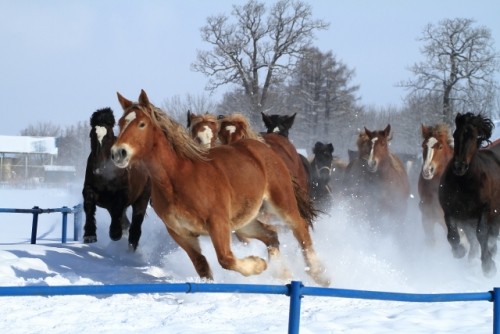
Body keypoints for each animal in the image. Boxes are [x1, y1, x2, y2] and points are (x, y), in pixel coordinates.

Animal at [81, 108, 150, 249]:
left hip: (143, 197)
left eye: (108, 137)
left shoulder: (122, 193)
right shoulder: (90, 188)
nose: (97, 169)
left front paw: (115, 233)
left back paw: (132, 244)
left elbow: (118, 208)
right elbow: (89, 205)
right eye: (91, 136)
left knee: (136, 220)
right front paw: (89, 235)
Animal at [111, 91, 330, 288]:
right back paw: (283, 275)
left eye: (141, 124)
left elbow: (226, 259)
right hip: (244, 221)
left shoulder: (217, 223)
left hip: (281, 204)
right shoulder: (180, 232)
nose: (118, 153)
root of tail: (266, 149)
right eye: (120, 123)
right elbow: (202, 266)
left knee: (300, 228)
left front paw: (258, 265)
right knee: (271, 235)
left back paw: (320, 275)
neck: (175, 179)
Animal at [438, 112, 500, 276]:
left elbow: (481, 234)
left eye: (473, 137)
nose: (459, 166)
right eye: (455, 134)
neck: (464, 184)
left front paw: (488, 266)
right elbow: (453, 236)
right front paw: (459, 251)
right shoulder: (452, 211)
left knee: (490, 237)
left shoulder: (485, 210)